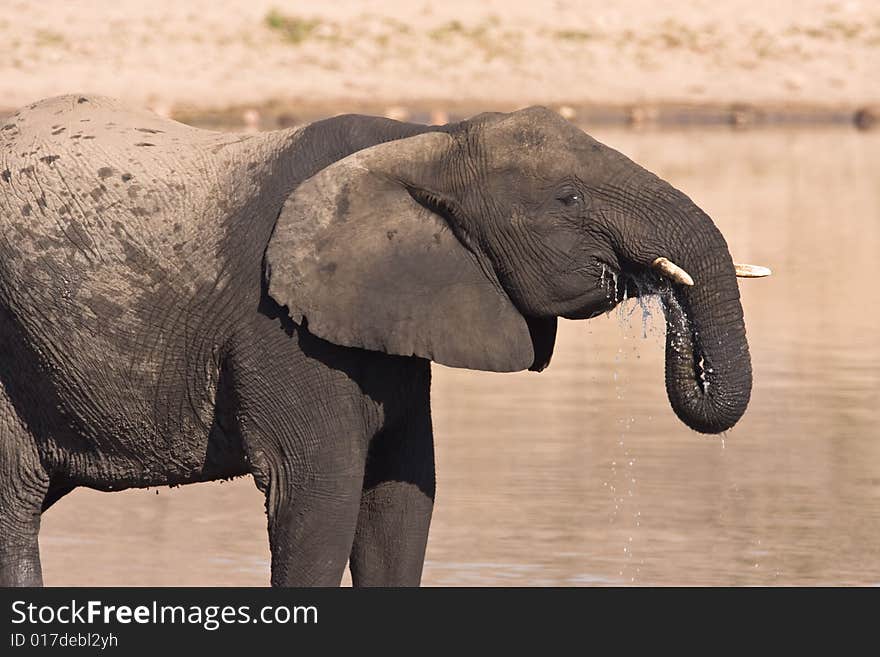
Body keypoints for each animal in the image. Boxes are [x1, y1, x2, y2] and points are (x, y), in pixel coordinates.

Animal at [0, 93, 768, 584]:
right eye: (569, 199)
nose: (664, 299)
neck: (426, 141)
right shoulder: (275, 326)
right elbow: (322, 495)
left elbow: (402, 496)